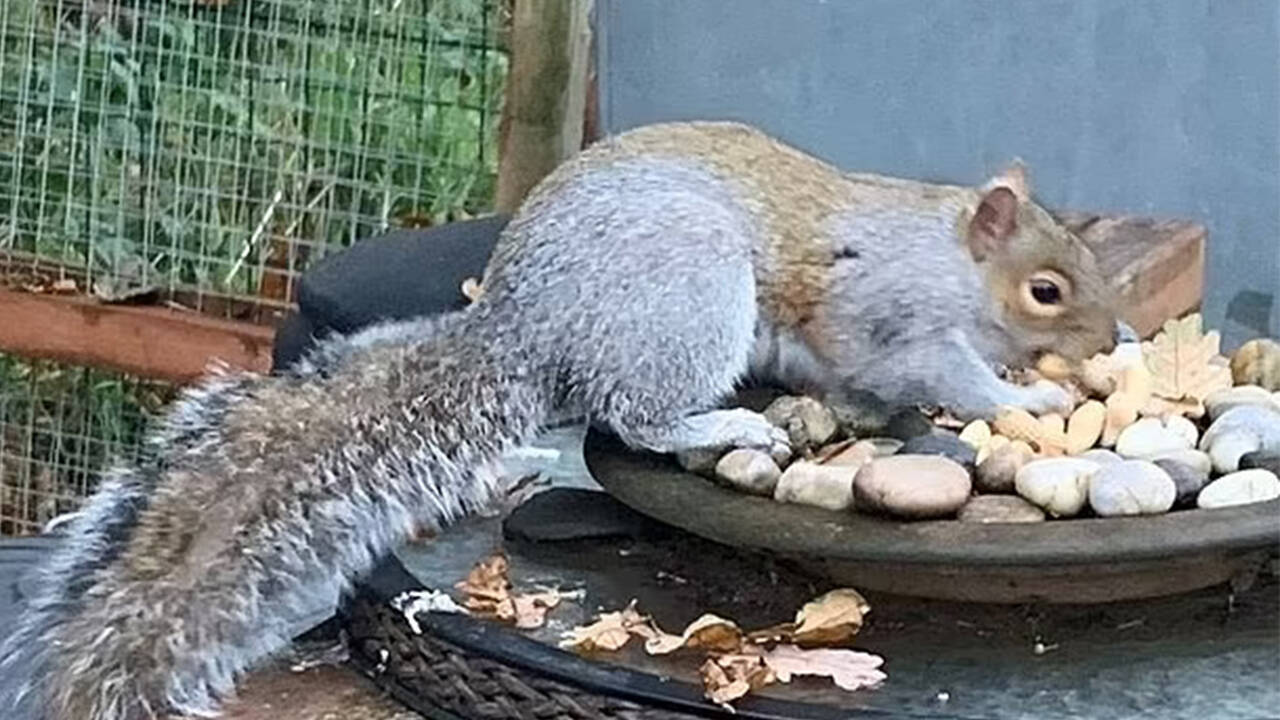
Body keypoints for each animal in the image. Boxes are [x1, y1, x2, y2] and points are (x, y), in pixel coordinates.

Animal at [0, 120, 1116, 712]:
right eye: (1047, 290)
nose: (1108, 340)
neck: (947, 255)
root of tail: (525, 330)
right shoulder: (890, 313)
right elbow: (937, 370)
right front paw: (1032, 396)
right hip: (687, 296)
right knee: (636, 415)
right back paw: (724, 428)